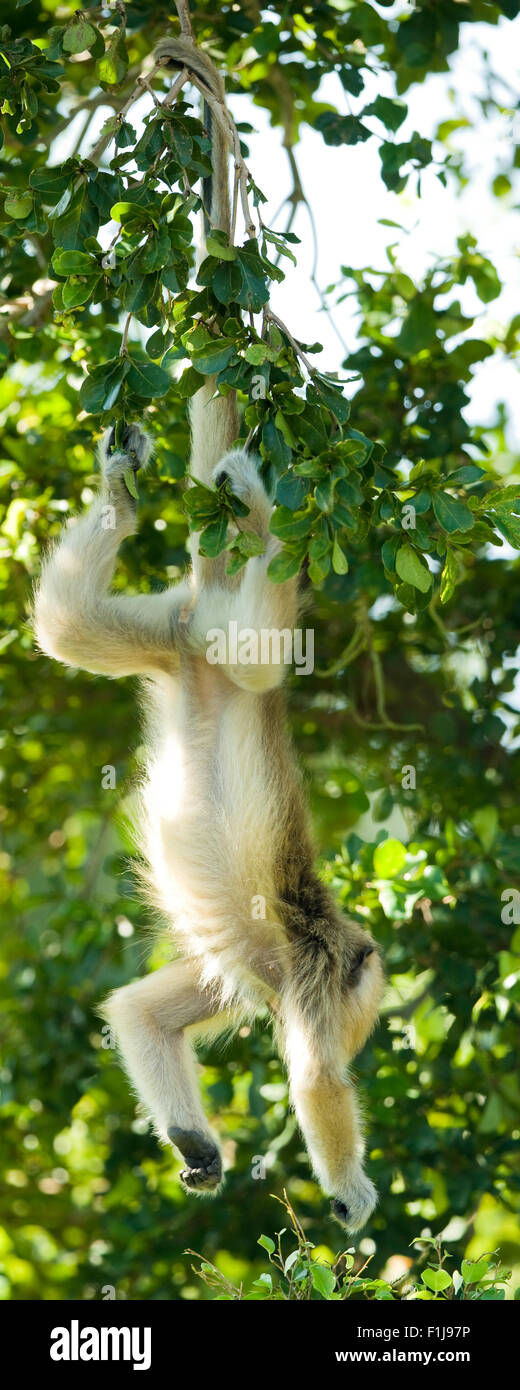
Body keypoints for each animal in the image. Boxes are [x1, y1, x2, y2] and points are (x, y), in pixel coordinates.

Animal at [32, 35, 380, 1228]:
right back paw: (257, 500)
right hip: (226, 642)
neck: (317, 939)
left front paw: (195, 1147)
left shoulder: (256, 979)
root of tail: (199, 637)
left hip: (161, 636)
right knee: (267, 655)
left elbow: (137, 1011)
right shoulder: (310, 978)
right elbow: (318, 1078)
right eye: (368, 985)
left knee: (65, 629)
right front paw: (352, 1194)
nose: (372, 993)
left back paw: (121, 494)